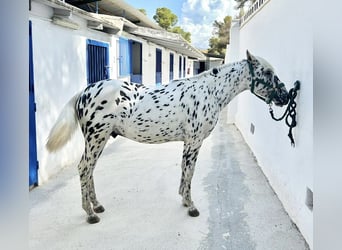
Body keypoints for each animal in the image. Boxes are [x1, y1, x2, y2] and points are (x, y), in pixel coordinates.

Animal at [46, 50, 290, 223]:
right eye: (268, 73)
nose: (286, 97)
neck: (210, 92)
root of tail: (85, 91)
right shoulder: (194, 140)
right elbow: (190, 171)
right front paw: (191, 206)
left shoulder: (189, 142)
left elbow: (184, 171)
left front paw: (183, 199)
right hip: (96, 138)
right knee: (84, 168)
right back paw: (90, 214)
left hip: (100, 139)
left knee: (89, 170)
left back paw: (97, 205)